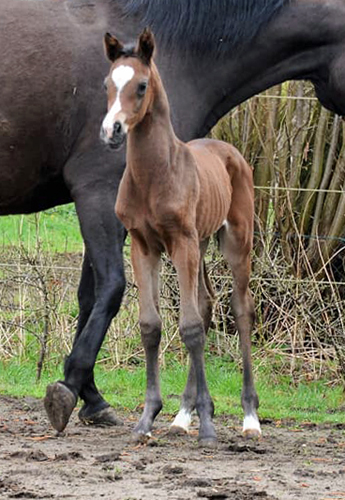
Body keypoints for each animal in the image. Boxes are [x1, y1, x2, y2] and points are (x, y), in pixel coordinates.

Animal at [99, 30, 258, 446]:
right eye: (107, 84)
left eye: (141, 86)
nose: (111, 131)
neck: (154, 175)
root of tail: (229, 150)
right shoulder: (144, 246)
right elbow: (152, 325)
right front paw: (148, 419)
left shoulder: (181, 242)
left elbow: (188, 327)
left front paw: (208, 427)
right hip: (199, 243)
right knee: (205, 303)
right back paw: (182, 416)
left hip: (235, 242)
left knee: (240, 309)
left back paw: (250, 417)